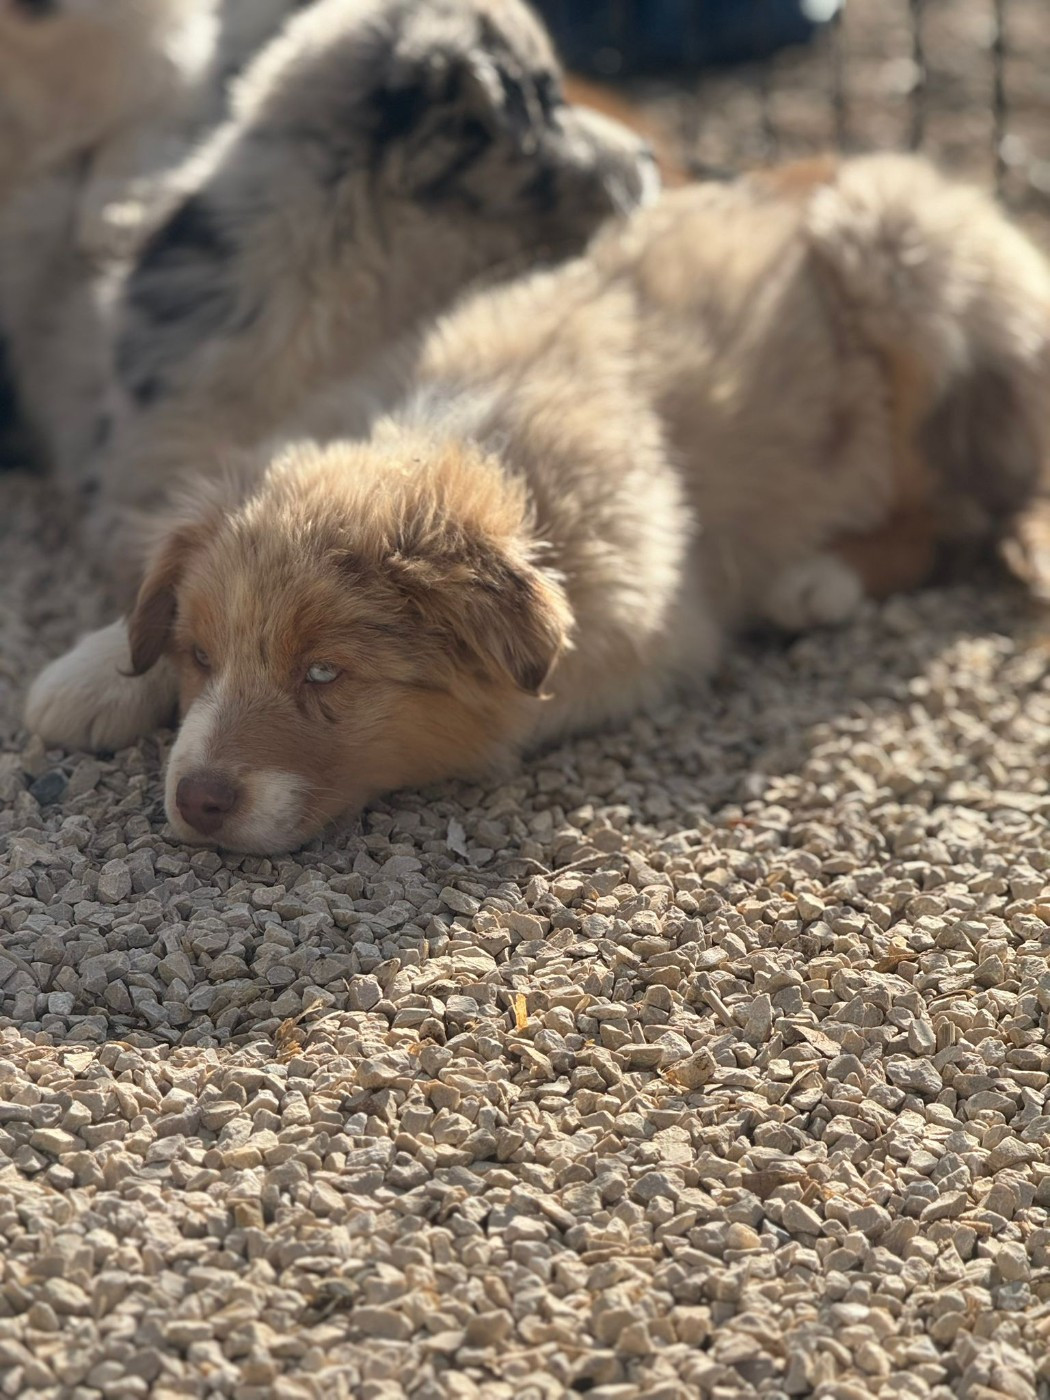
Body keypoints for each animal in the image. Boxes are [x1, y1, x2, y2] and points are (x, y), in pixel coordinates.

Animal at [26, 154, 1050, 853]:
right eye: (200, 656)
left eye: (324, 674)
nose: (197, 801)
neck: (451, 432)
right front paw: (90, 674)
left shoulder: (644, 631)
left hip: (889, 242)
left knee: (956, 516)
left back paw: (817, 579)